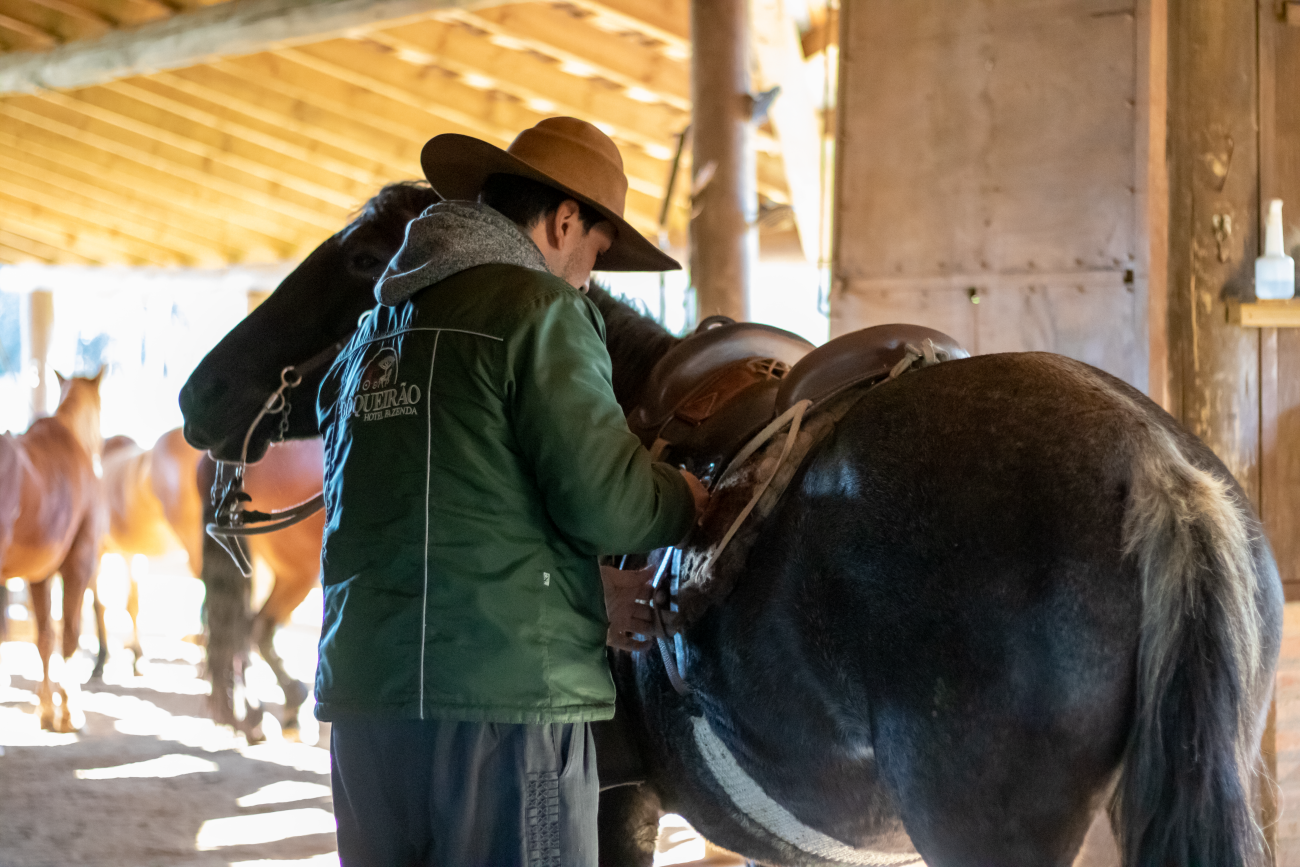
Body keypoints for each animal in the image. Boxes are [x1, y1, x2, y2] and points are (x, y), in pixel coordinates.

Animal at [0, 371, 106, 733]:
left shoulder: (39, 573)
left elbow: (45, 637)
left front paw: (46, 709)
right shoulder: (79, 562)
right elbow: (71, 637)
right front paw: (71, 712)